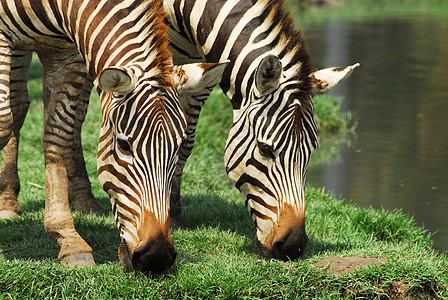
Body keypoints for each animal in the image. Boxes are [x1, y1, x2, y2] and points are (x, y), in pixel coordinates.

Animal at [0, 0, 226, 274]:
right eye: (124, 145)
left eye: (179, 148)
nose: (157, 257)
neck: (63, 7)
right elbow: (2, 125)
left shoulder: (66, 52)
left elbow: (58, 136)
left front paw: (69, 239)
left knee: (19, 103)